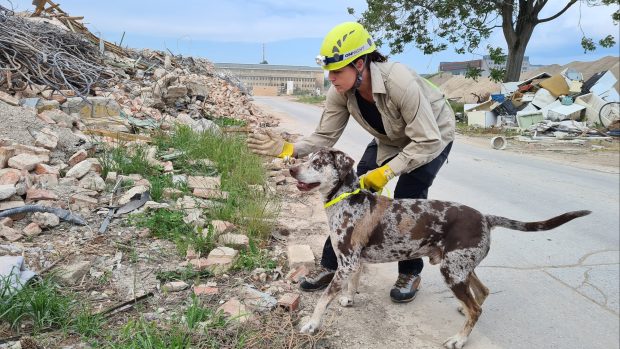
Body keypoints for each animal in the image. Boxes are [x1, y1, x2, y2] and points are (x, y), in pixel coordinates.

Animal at [290, 147, 592, 348]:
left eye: (317, 162)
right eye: (307, 158)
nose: (292, 168)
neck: (347, 199)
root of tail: (486, 217)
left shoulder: (348, 261)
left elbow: (323, 299)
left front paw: (312, 324)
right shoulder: (353, 261)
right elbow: (352, 283)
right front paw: (349, 298)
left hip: (453, 271)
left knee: (477, 308)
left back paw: (459, 338)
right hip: (461, 267)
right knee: (482, 292)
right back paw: (463, 312)